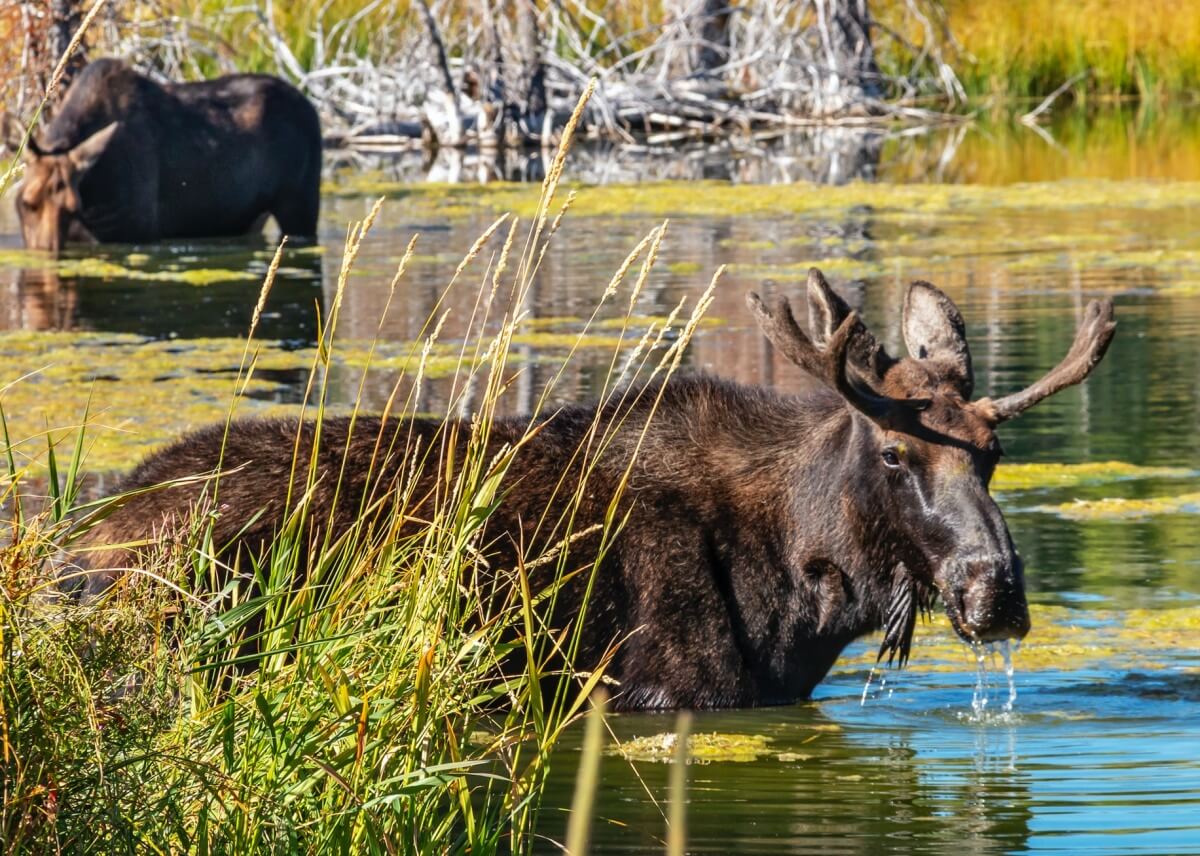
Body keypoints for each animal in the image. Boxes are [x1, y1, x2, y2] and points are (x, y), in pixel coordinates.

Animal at [2, 60, 321, 250]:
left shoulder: (137, 231)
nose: (45, 250)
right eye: (26, 202)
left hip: (300, 207)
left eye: (72, 207)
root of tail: (312, 108)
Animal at [68, 270, 1113, 710]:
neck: (808, 594)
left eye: (994, 454)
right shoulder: (669, 692)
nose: (995, 588)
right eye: (896, 455)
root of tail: (74, 550)